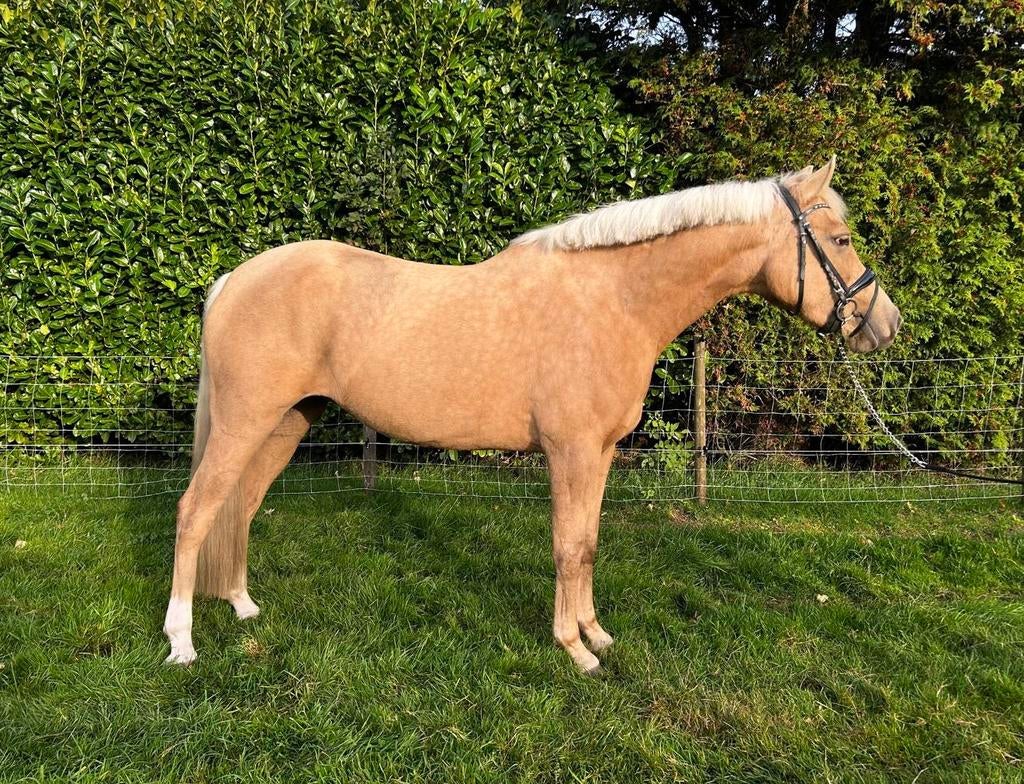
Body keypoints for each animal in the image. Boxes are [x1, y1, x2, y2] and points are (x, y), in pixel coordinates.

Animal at [163, 158, 901, 673]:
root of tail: (232, 280)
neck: (612, 300)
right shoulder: (570, 450)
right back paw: (181, 641)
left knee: (240, 506)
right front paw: (575, 650)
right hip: (245, 422)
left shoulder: (600, 452)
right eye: (840, 239)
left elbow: (590, 544)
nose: (885, 324)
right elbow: (568, 546)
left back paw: (242, 605)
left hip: (287, 422)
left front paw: (597, 633)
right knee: (196, 510)